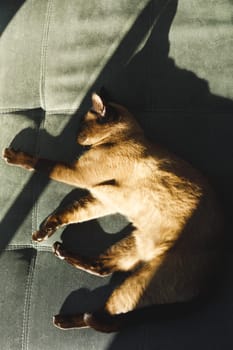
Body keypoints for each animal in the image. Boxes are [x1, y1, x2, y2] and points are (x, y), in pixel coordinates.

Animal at [2, 93, 223, 334]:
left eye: (81, 125)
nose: (75, 137)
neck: (122, 137)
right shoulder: (101, 200)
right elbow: (68, 213)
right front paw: (44, 233)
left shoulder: (80, 175)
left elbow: (45, 164)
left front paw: (13, 156)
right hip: (131, 245)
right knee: (103, 268)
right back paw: (61, 252)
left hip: (139, 282)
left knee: (110, 318)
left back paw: (64, 320)